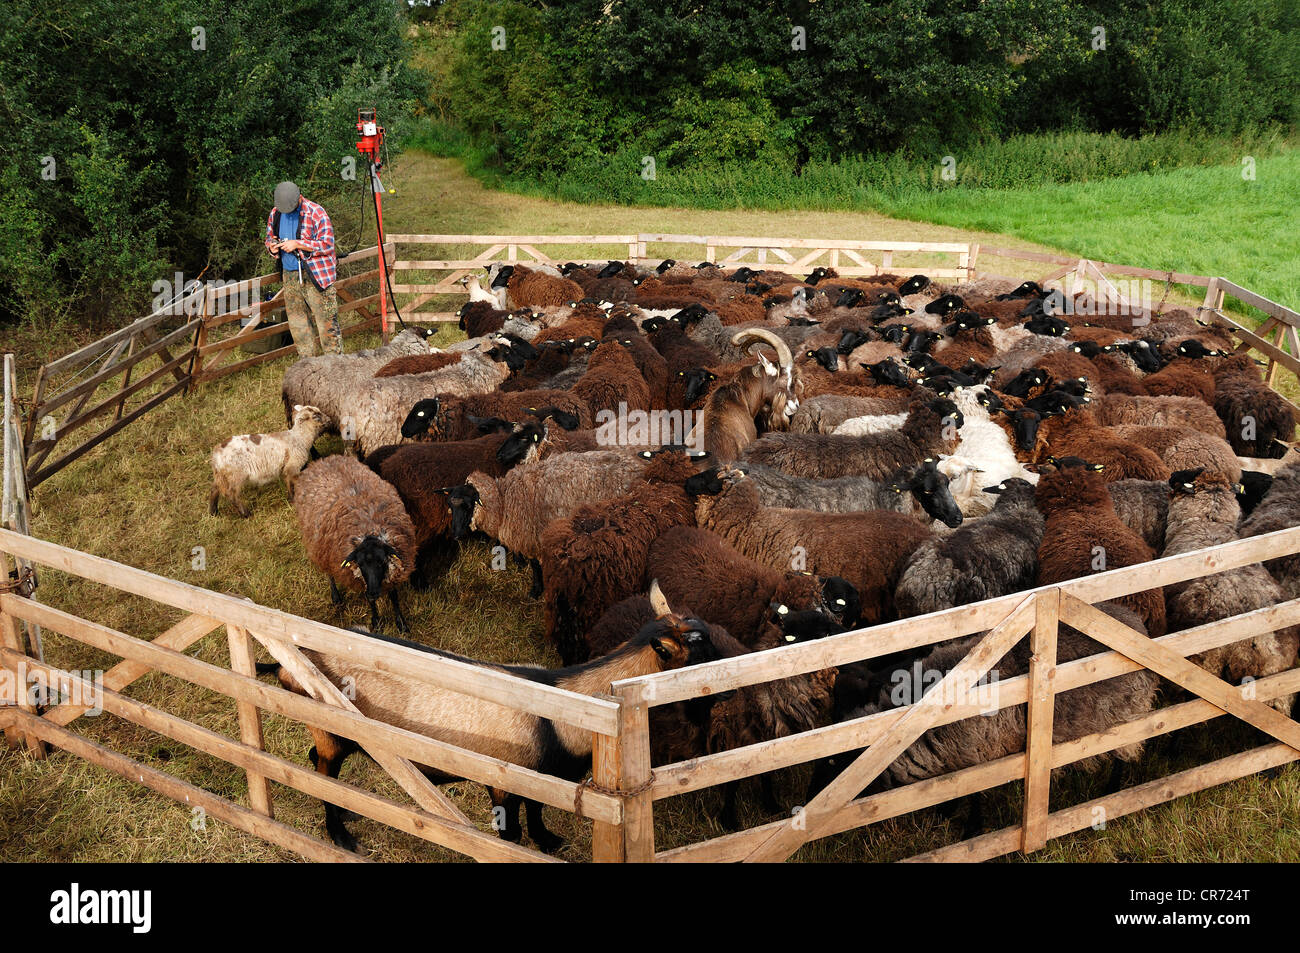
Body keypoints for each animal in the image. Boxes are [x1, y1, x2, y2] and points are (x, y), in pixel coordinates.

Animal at [271, 585, 724, 851]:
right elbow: (512, 831)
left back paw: (348, 811)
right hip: (331, 729)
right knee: (323, 769)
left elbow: (537, 812)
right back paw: (340, 836)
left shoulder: (540, 779)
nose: (723, 698)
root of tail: (289, 662)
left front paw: (549, 841)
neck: (562, 710)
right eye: (699, 654)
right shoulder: (503, 783)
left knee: (315, 760)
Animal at [292, 455, 417, 633]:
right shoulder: (361, 577)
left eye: (382, 562)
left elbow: (394, 596)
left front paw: (401, 623)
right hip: (320, 547)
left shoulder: (394, 570)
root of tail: (322, 460)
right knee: (329, 573)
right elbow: (371, 602)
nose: (373, 593)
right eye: (360, 563)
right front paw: (376, 622)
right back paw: (336, 597)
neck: (370, 530)